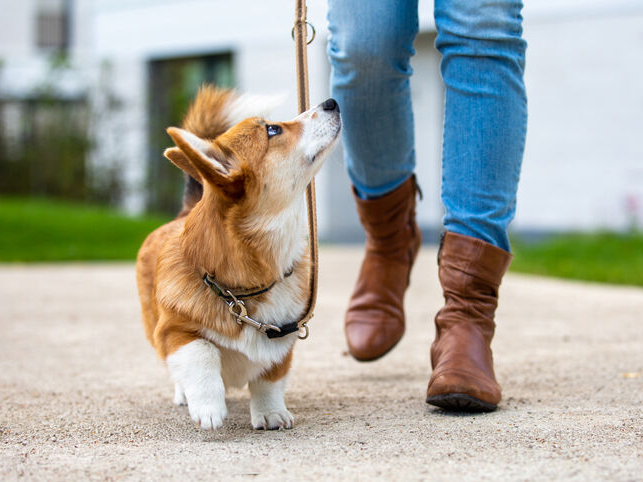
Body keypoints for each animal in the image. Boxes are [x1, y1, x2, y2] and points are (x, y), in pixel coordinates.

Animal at [136, 85, 342, 430]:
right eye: (272, 130)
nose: (332, 102)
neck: (243, 291)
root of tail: (184, 211)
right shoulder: (172, 332)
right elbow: (202, 351)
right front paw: (208, 406)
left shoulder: (282, 338)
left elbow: (269, 378)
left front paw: (271, 414)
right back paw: (184, 394)